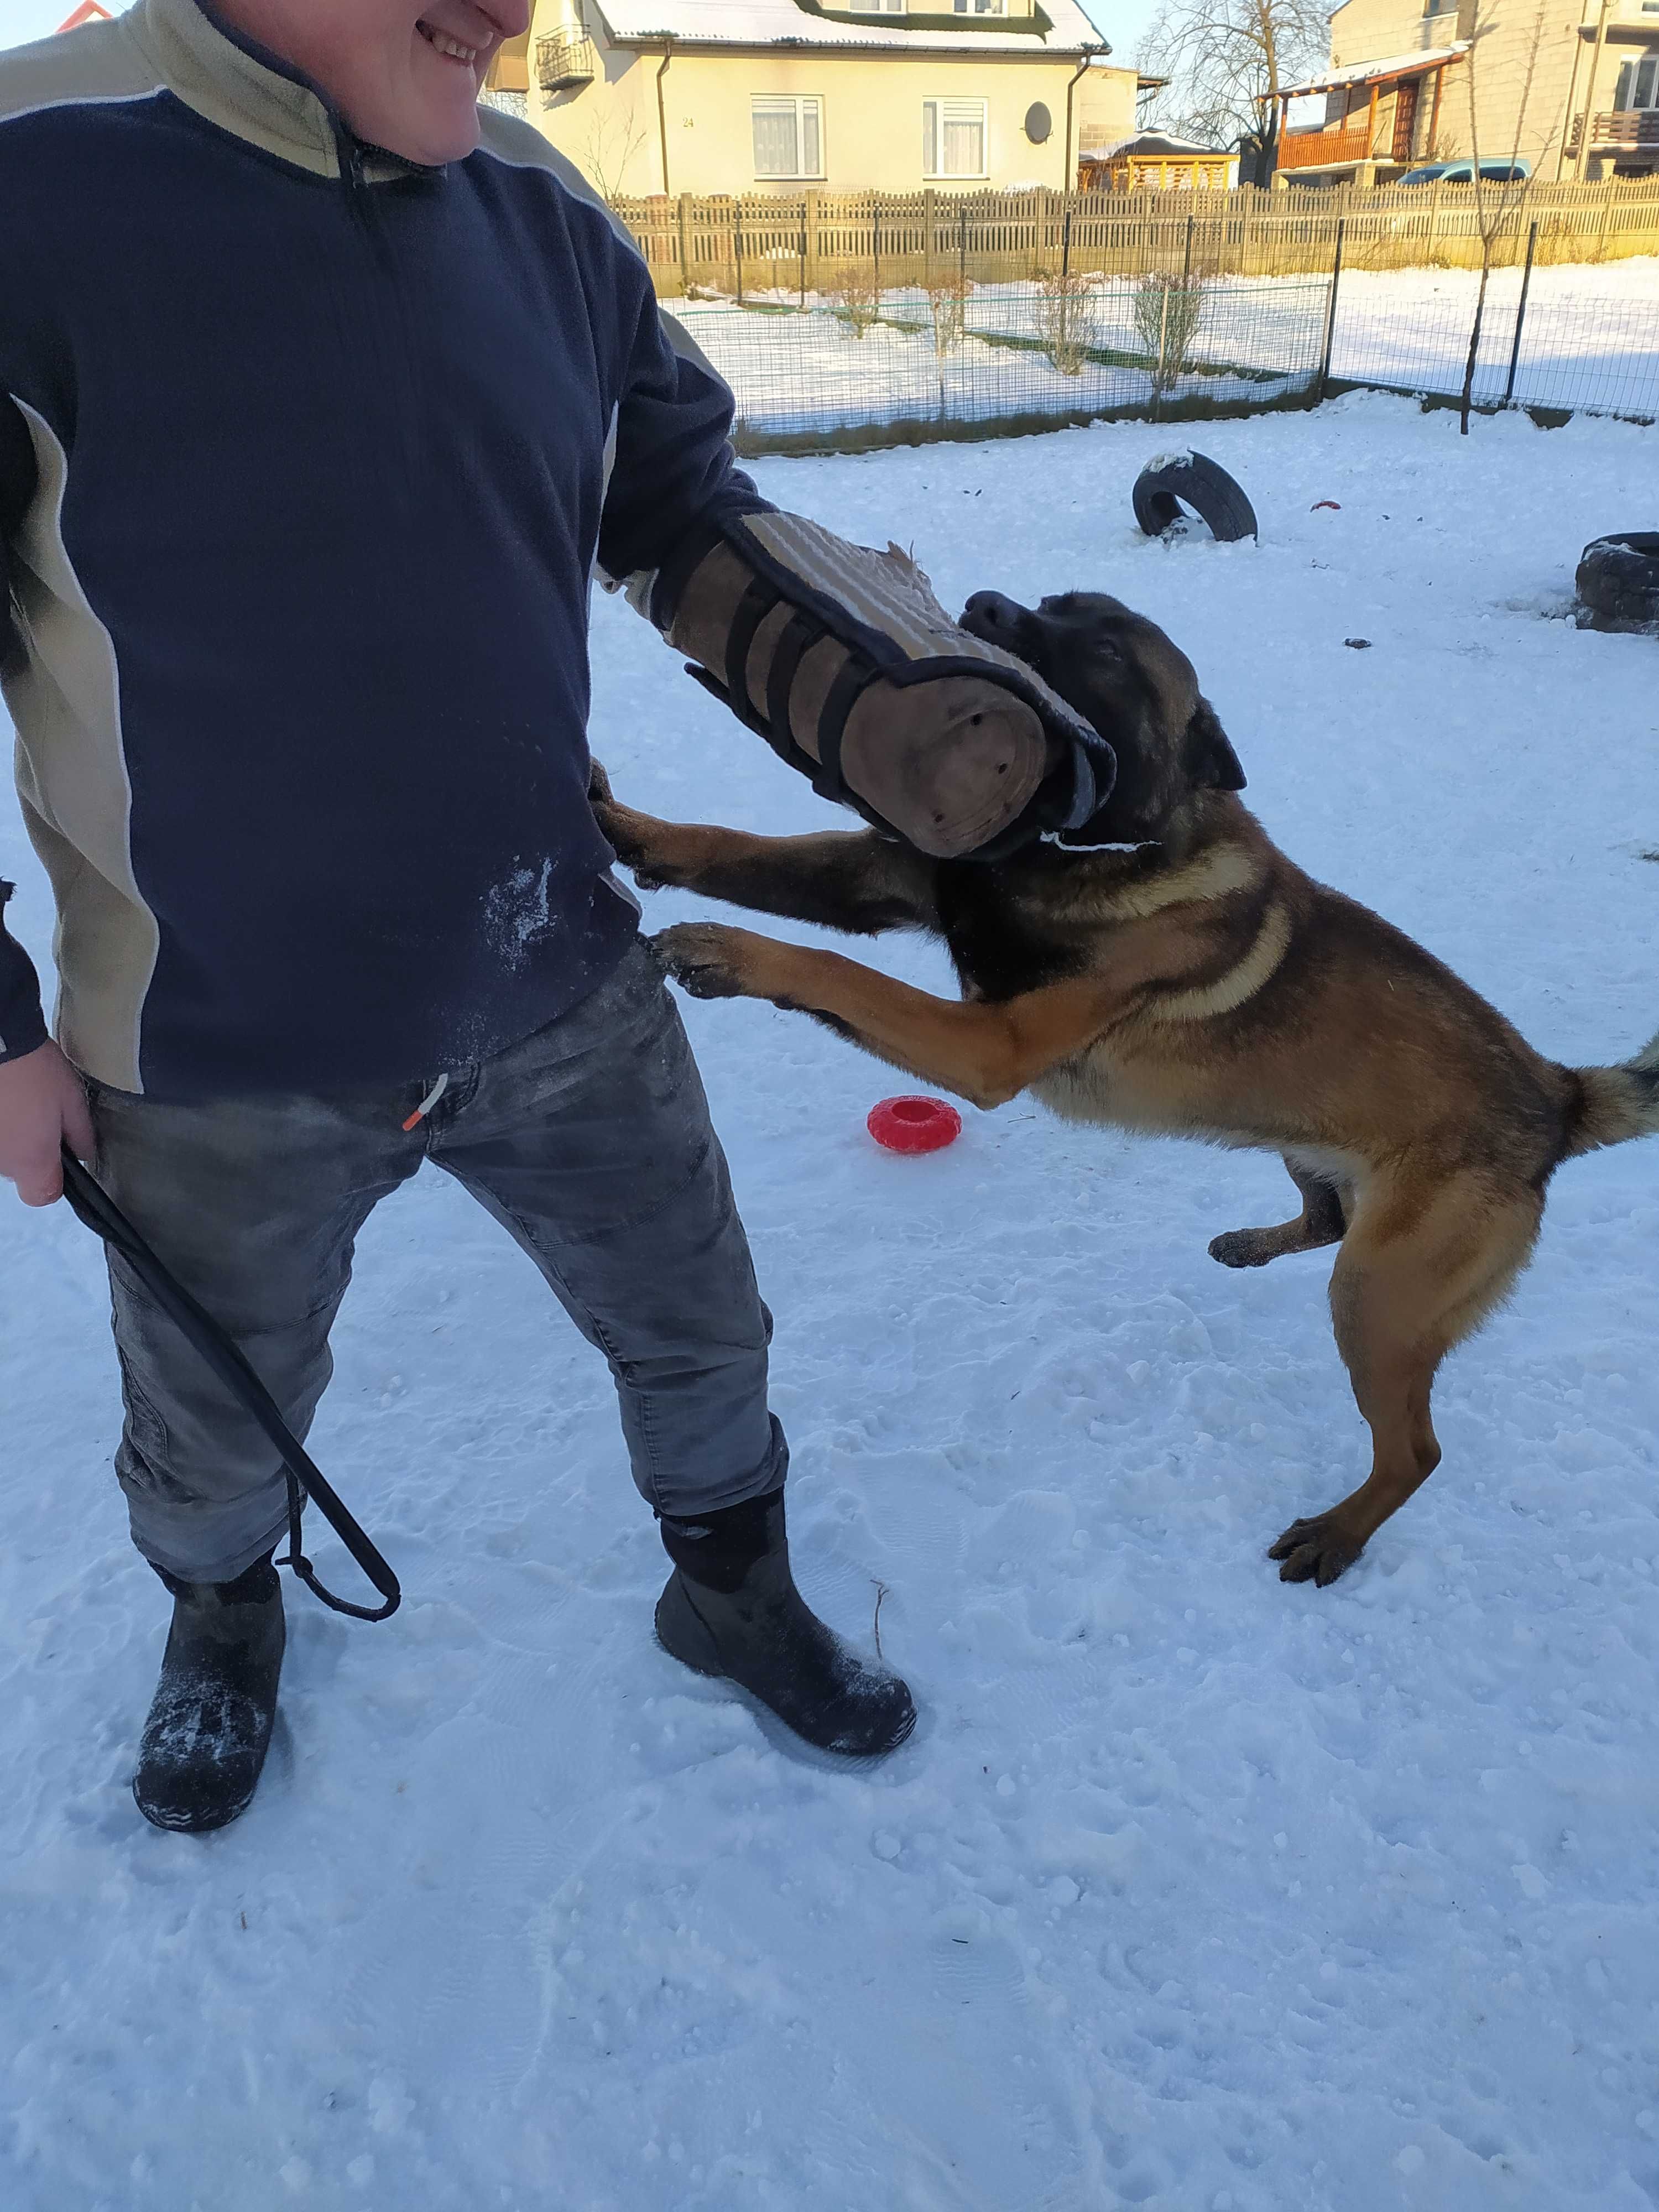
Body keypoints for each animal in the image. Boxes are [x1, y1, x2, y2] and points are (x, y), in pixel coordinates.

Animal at [593, 593, 1655, 1593]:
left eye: (1106, 651)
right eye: (1053, 602)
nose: (982, 606)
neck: (1081, 849)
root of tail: (1558, 1099)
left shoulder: (992, 1045)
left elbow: (832, 971)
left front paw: (726, 950)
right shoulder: (879, 878)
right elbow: (725, 843)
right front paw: (621, 823)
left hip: (1379, 1302)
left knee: (1417, 1449)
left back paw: (1338, 1535)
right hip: (1305, 1157)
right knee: (1324, 1220)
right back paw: (1251, 1245)